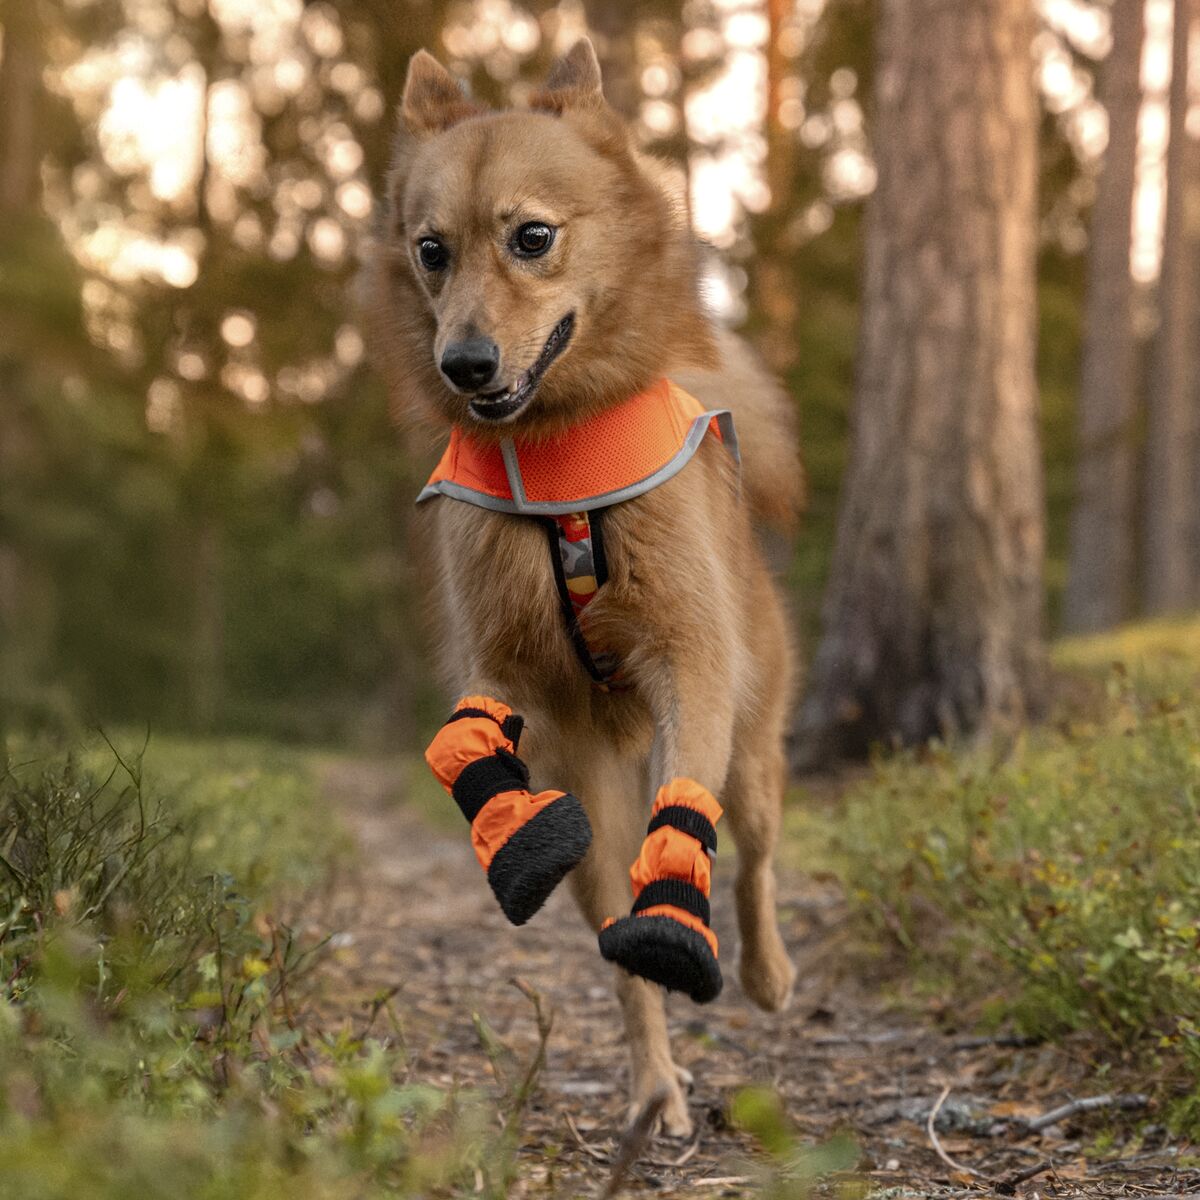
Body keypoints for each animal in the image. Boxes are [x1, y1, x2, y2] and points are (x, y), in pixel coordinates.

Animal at [360, 32, 801, 1128]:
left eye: (531, 237)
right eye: (431, 250)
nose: (467, 364)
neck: (556, 452)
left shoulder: (691, 656)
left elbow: (691, 816)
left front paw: (686, 912)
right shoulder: (506, 664)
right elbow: (464, 737)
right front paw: (509, 825)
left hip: (754, 740)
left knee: (756, 849)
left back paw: (765, 971)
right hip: (598, 812)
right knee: (616, 944)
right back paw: (655, 1086)